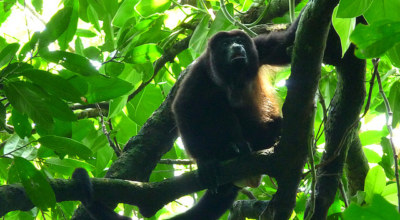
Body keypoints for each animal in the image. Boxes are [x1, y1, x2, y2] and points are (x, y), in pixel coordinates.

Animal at [170, 18, 298, 219]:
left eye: (239, 41)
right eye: (225, 44)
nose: (237, 46)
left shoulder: (259, 47)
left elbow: (288, 40)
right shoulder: (199, 71)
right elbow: (184, 107)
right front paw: (204, 161)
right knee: (217, 101)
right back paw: (231, 149)